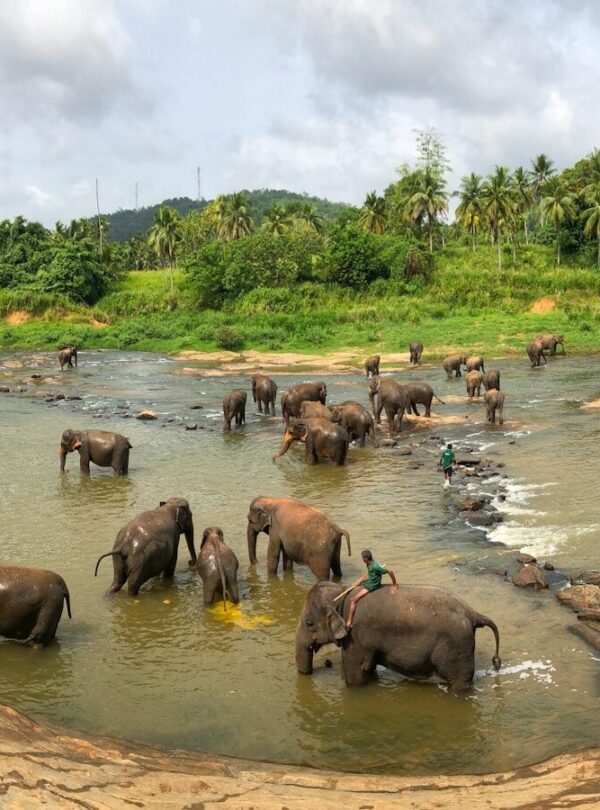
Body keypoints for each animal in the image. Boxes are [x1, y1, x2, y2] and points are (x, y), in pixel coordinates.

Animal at [295, 580, 501, 692]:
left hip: (457, 646)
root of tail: (472, 613)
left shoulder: (356, 636)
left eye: (309, 623)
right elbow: (368, 669)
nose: (314, 671)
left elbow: (356, 672)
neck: (342, 591)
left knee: (459, 681)